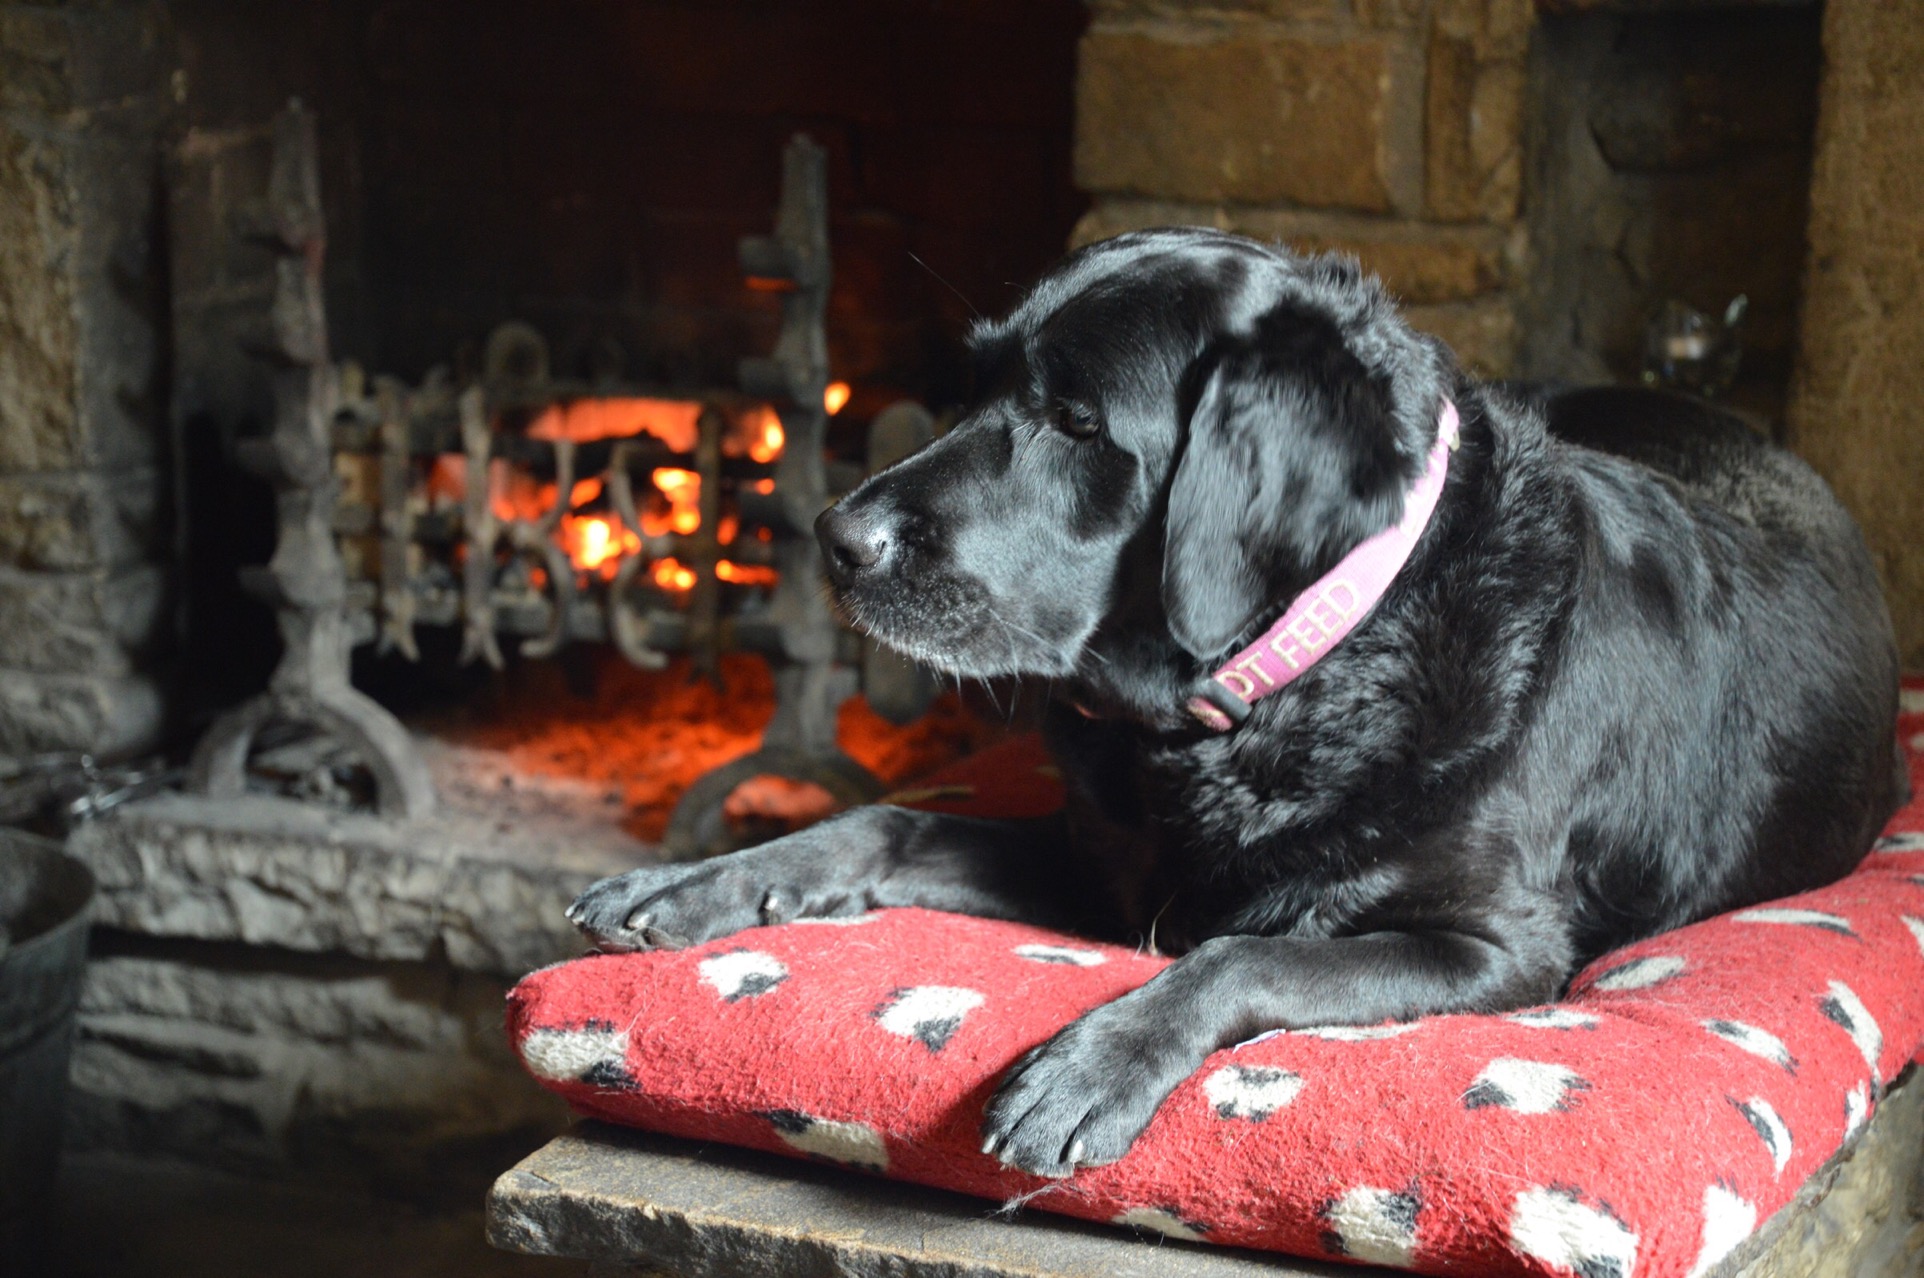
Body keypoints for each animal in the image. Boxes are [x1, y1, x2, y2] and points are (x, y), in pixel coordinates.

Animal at [561, 227, 1900, 1177]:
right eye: (975, 383)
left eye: (1075, 419)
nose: (836, 539)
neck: (1300, 682)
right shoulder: (1110, 872)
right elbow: (889, 821)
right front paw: (707, 882)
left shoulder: (1499, 951)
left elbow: (1246, 949)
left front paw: (1095, 1060)